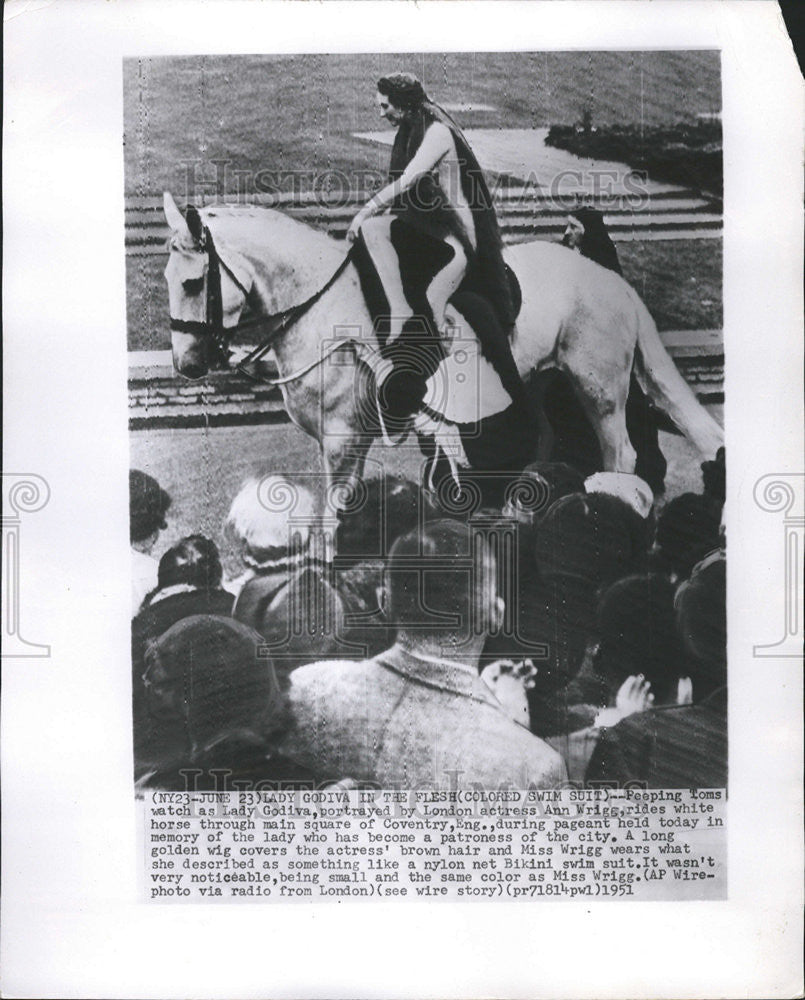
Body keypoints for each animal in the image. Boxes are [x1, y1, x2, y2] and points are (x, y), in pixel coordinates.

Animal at [163, 191, 724, 496]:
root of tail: (612, 280)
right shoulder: (346, 439)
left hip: (599, 390)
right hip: (542, 383)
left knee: (621, 454)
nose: (186, 363)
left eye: (191, 282)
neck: (322, 306)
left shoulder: (343, 438)